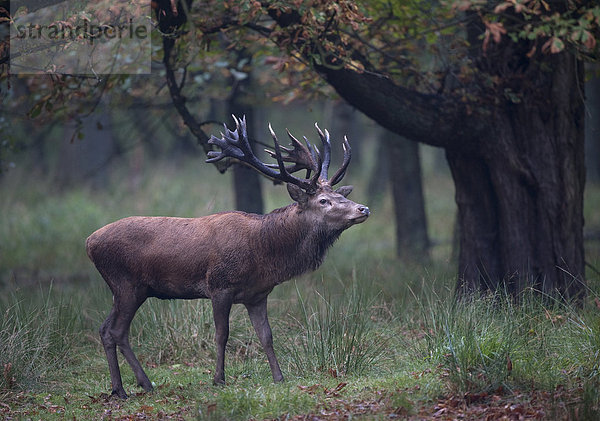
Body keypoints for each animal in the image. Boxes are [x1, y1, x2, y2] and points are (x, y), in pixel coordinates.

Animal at [86, 115, 368, 398]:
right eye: (323, 201)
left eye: (341, 195)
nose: (363, 208)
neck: (264, 253)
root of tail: (89, 242)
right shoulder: (220, 285)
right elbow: (222, 334)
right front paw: (218, 379)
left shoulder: (257, 294)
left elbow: (266, 336)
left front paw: (279, 377)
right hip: (126, 284)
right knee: (117, 331)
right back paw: (135, 386)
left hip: (127, 289)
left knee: (105, 329)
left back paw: (123, 387)